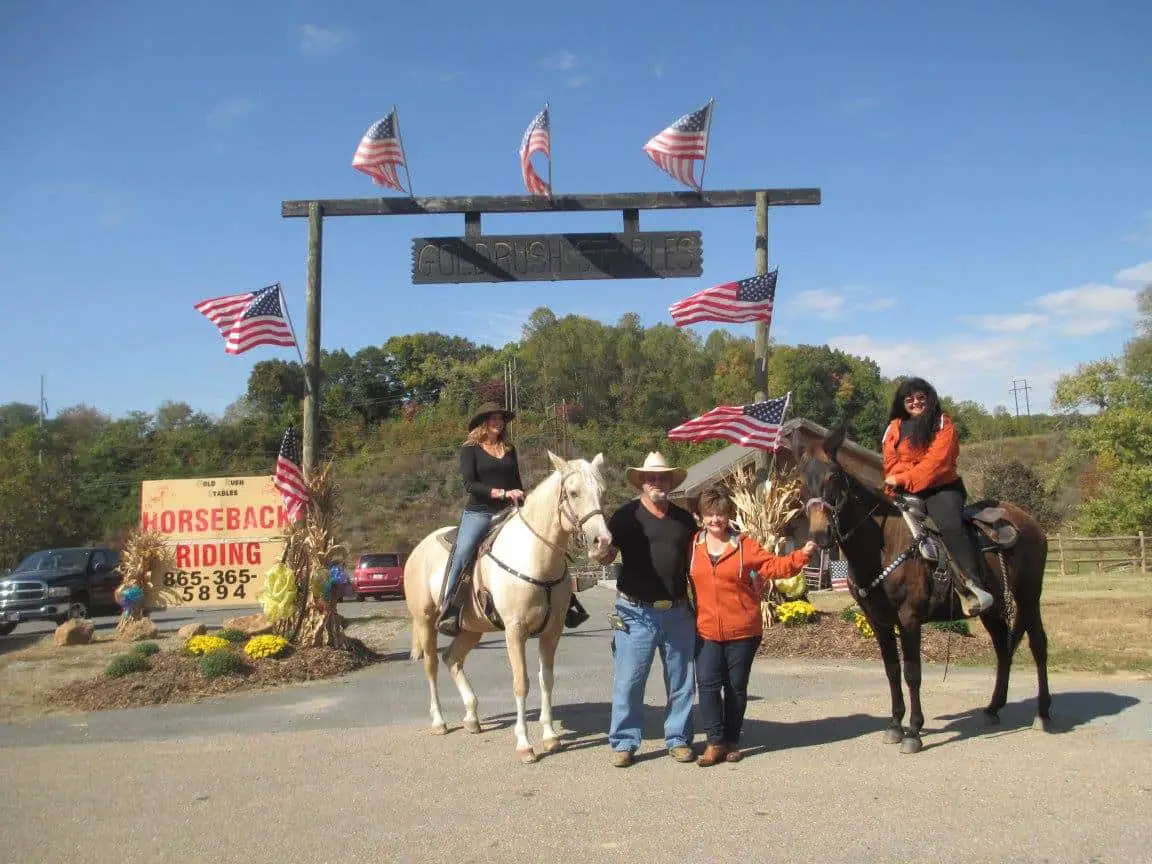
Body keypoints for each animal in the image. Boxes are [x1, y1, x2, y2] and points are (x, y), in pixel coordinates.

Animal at [405, 453, 612, 764]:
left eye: (601, 492)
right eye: (574, 493)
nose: (604, 544)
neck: (535, 557)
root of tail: (416, 550)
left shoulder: (552, 631)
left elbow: (546, 680)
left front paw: (550, 737)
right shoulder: (515, 631)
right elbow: (521, 683)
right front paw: (525, 744)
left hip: (471, 629)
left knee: (452, 658)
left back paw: (471, 717)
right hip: (426, 622)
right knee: (431, 666)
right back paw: (439, 721)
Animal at [801, 423, 1055, 755]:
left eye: (833, 476)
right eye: (801, 481)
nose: (821, 534)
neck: (883, 544)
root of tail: (1029, 522)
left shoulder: (909, 619)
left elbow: (912, 673)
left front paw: (913, 731)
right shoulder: (878, 622)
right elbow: (892, 671)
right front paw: (895, 725)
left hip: (1029, 595)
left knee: (1038, 645)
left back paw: (1043, 713)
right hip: (994, 606)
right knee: (1003, 647)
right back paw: (993, 708)